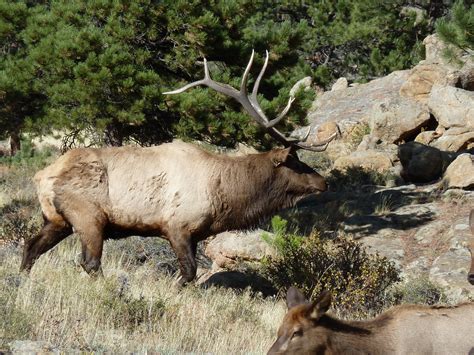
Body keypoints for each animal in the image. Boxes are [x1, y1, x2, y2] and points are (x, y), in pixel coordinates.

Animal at [20, 51, 336, 286]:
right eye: (296, 162)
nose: (324, 183)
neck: (224, 194)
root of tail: (41, 177)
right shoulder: (177, 226)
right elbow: (188, 273)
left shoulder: (194, 234)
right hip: (88, 216)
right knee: (90, 262)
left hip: (57, 220)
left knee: (30, 246)